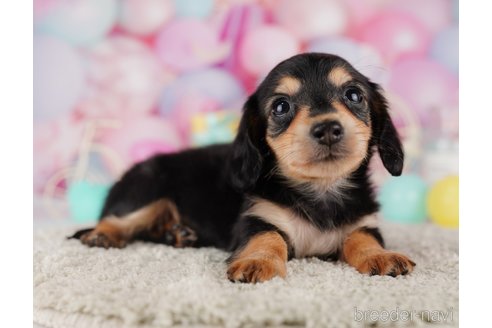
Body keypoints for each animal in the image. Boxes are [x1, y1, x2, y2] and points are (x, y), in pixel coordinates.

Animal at [70, 53, 416, 282]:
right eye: (281, 106)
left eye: (354, 95)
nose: (328, 128)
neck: (321, 189)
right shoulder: (256, 219)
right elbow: (269, 238)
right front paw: (258, 263)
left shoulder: (363, 223)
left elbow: (363, 239)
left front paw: (381, 257)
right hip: (145, 191)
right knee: (117, 220)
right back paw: (103, 235)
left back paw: (178, 233)